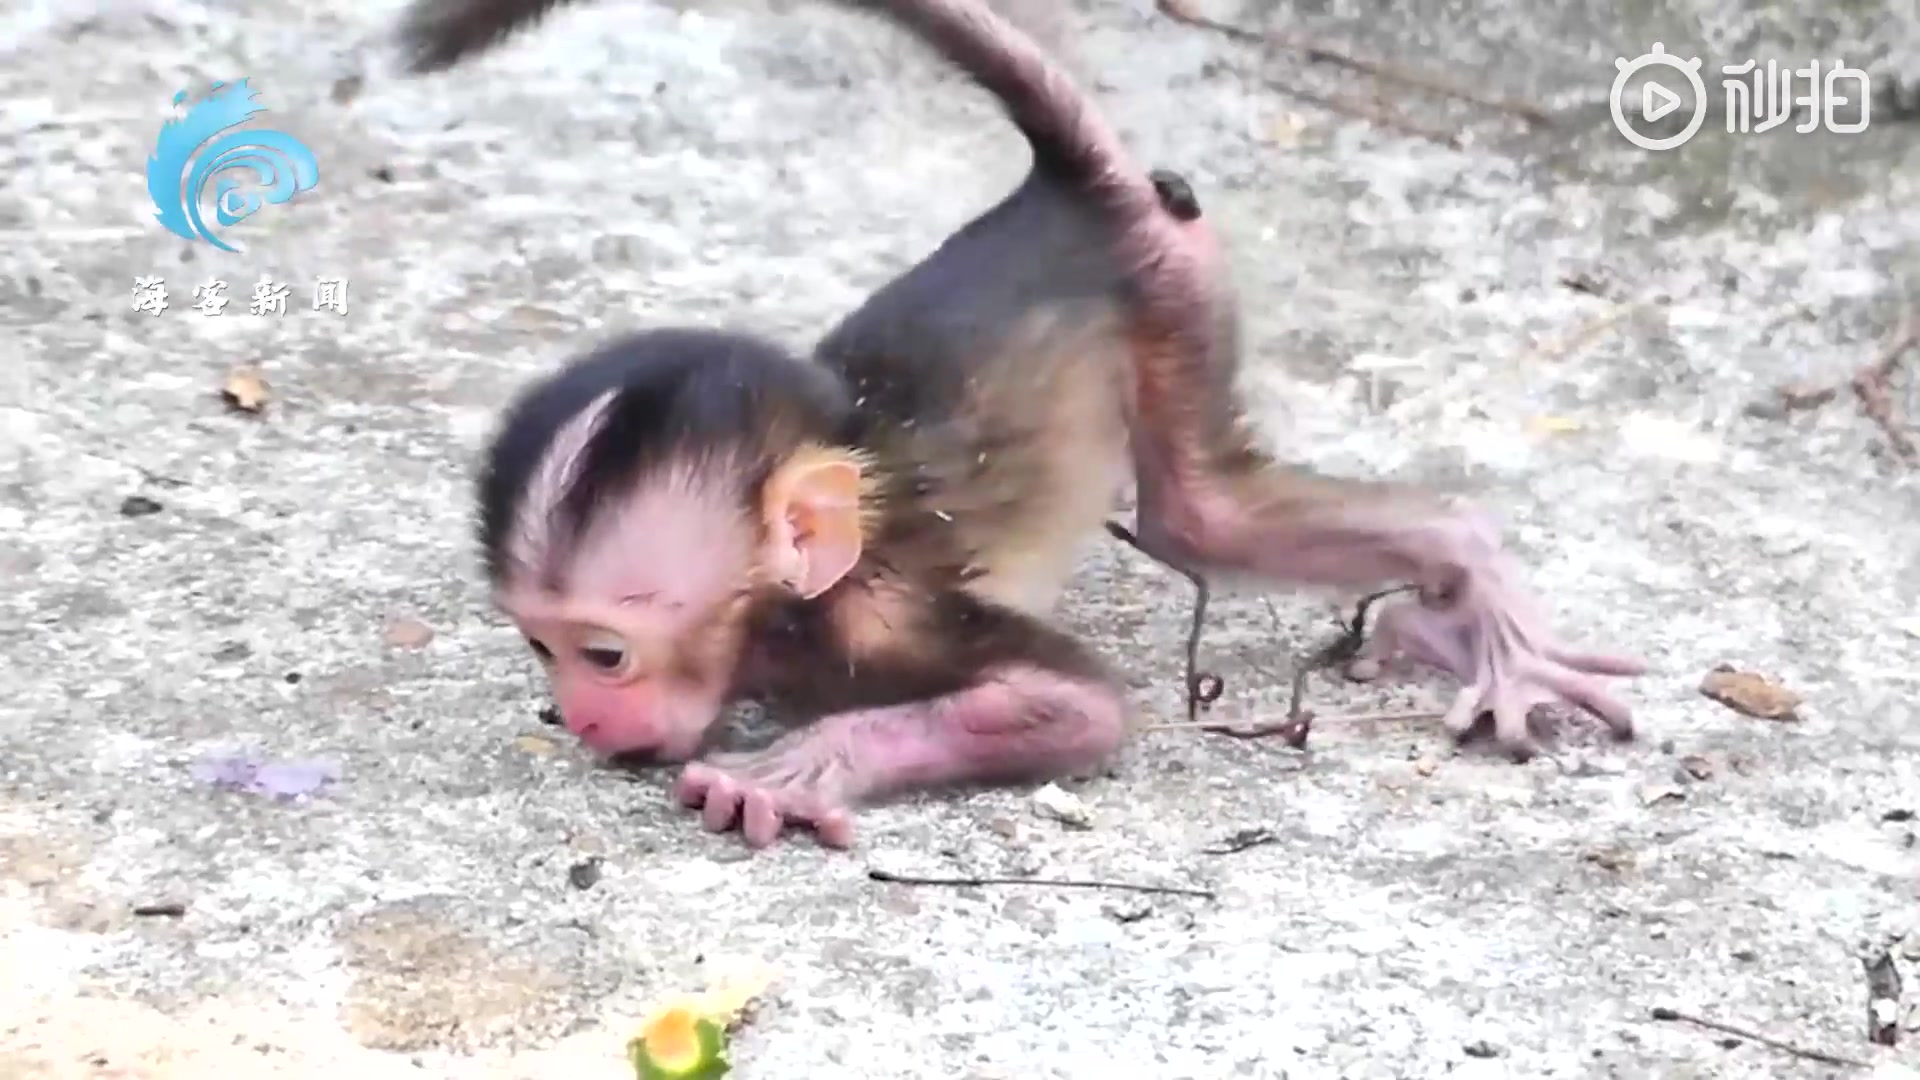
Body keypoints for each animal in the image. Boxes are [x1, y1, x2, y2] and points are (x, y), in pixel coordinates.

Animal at [393, 0, 1651, 845]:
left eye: (605, 650)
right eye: (541, 645)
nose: (580, 714)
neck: (785, 611)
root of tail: (1064, 190)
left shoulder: (890, 617)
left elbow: (1078, 709)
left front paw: (801, 765)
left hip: (1173, 291)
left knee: (1209, 516)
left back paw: (1480, 594)